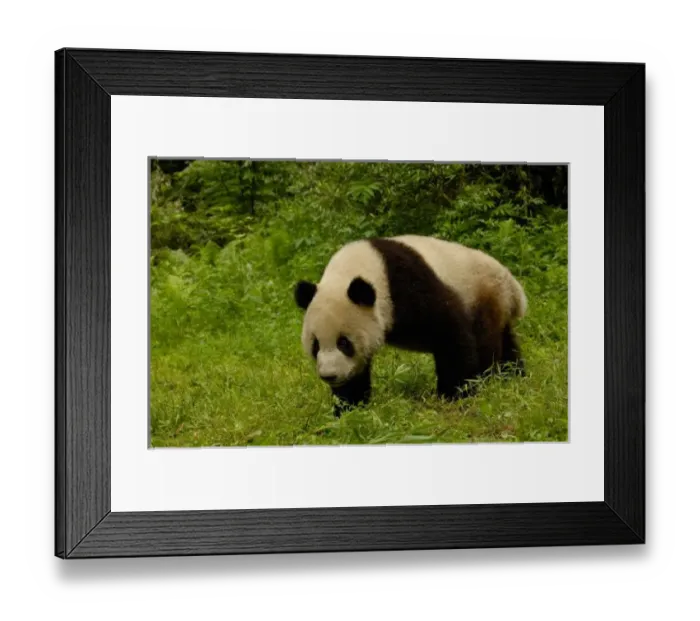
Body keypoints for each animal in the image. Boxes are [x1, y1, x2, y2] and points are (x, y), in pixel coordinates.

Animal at [294, 235, 527, 417]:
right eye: (315, 345)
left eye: (344, 342)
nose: (329, 376)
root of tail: (514, 287)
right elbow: (355, 375)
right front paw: (348, 408)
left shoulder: (409, 284)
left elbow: (450, 334)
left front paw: (454, 394)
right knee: (507, 345)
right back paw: (514, 377)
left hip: (484, 295)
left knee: (487, 343)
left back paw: (491, 381)